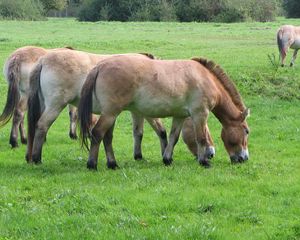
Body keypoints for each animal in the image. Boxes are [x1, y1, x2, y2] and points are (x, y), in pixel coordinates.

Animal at [26, 49, 172, 169]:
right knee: (42, 125)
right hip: (55, 105)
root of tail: (44, 60)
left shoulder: (136, 111)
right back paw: (37, 158)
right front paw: (165, 153)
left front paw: (138, 156)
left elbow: (138, 133)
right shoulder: (146, 112)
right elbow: (161, 131)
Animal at [78, 55, 250, 170]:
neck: (205, 78)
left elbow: (174, 137)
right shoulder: (200, 114)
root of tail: (100, 66)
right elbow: (201, 138)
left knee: (107, 137)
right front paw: (204, 162)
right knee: (97, 134)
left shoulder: (180, 116)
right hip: (110, 113)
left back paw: (112, 164)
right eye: (247, 131)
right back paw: (92, 164)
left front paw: (167, 159)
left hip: (111, 114)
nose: (244, 158)